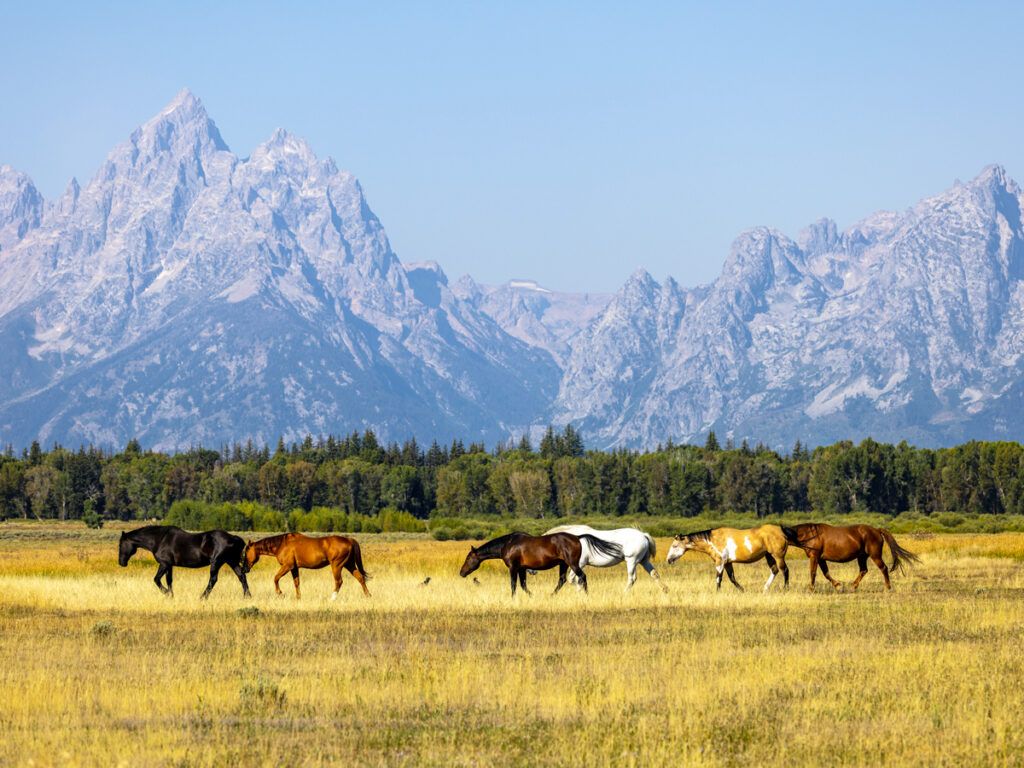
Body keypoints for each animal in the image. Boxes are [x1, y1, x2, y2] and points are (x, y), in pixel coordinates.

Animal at [117, 525, 251, 599]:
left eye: (121, 544)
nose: (121, 562)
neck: (159, 539)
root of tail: (233, 537)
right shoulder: (169, 565)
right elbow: (169, 581)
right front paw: (171, 596)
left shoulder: (164, 564)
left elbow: (156, 579)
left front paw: (166, 593)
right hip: (231, 561)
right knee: (241, 576)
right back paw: (247, 596)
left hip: (216, 563)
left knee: (213, 580)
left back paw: (202, 597)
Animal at [459, 531, 623, 596]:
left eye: (468, 558)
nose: (461, 572)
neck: (508, 544)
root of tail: (577, 537)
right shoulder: (522, 568)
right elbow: (523, 585)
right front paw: (532, 596)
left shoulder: (513, 567)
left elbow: (513, 584)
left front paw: (512, 598)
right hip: (563, 564)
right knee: (562, 580)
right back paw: (551, 595)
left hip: (572, 564)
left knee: (582, 577)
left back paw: (586, 594)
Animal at [781, 523, 920, 591]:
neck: (811, 534)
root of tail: (877, 530)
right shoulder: (821, 559)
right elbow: (826, 573)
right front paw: (837, 585)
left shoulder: (814, 557)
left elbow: (813, 572)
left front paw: (811, 588)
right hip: (862, 557)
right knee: (863, 570)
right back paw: (853, 586)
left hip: (875, 556)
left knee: (883, 568)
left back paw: (887, 587)